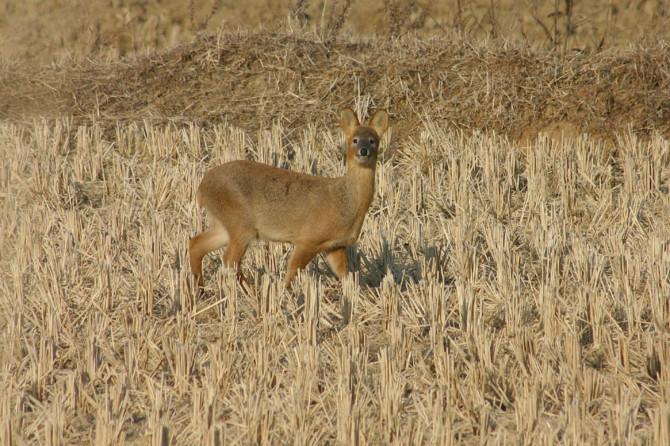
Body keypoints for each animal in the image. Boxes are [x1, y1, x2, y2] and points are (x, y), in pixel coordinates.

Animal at [189, 109, 388, 292]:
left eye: (372, 140)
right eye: (355, 139)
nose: (364, 151)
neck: (345, 201)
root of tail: (201, 187)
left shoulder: (335, 245)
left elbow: (344, 274)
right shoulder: (309, 238)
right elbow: (293, 270)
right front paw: (283, 293)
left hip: (223, 224)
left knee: (196, 244)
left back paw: (200, 291)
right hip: (240, 223)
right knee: (229, 260)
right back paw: (252, 293)